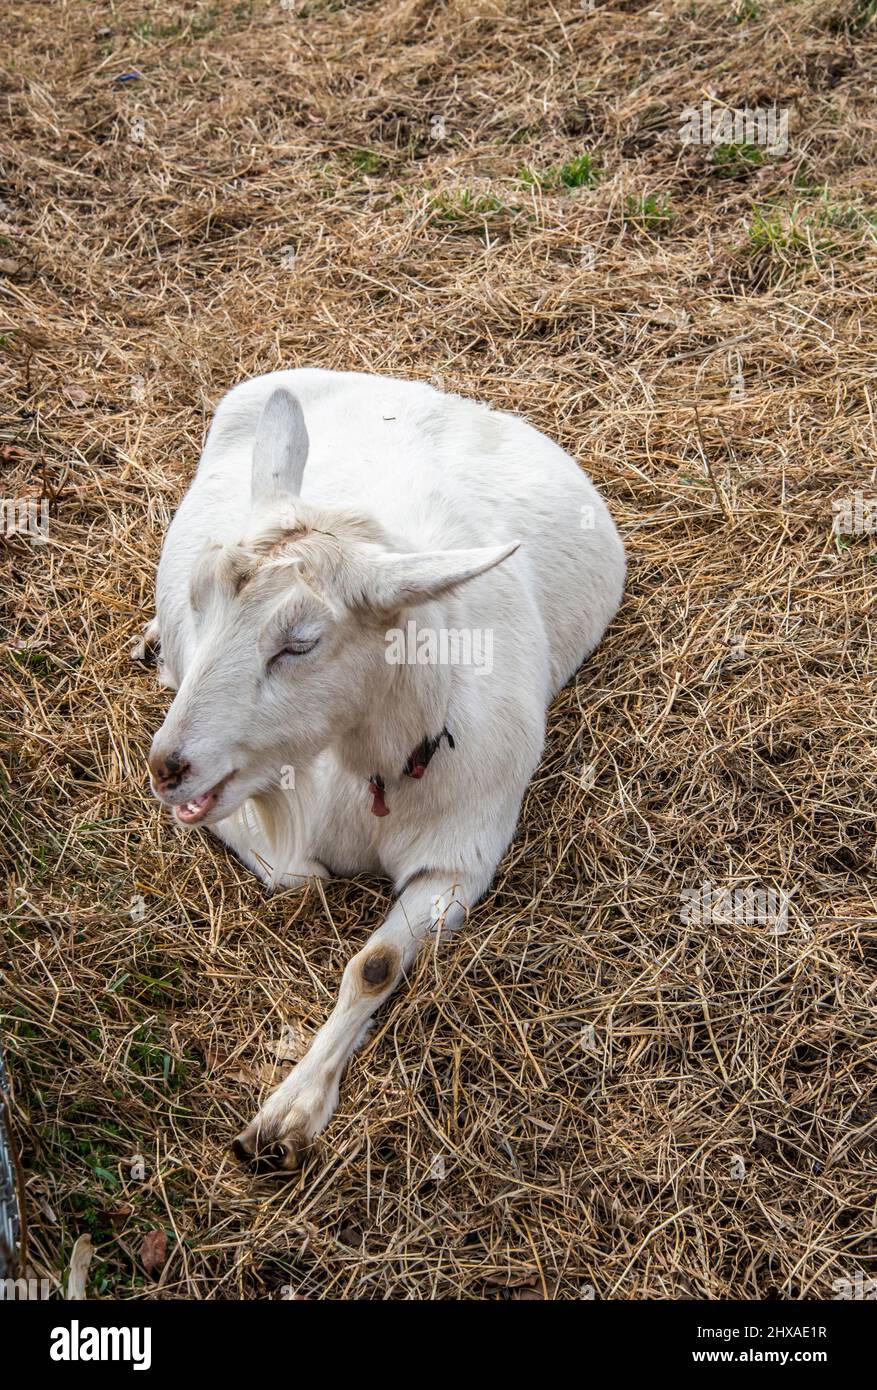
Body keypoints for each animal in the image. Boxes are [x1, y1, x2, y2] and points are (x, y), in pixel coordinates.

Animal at [145, 369, 625, 1173]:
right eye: (197, 597)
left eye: (301, 643)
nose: (167, 766)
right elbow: (297, 877)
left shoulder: (459, 860)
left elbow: (373, 963)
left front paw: (287, 1117)